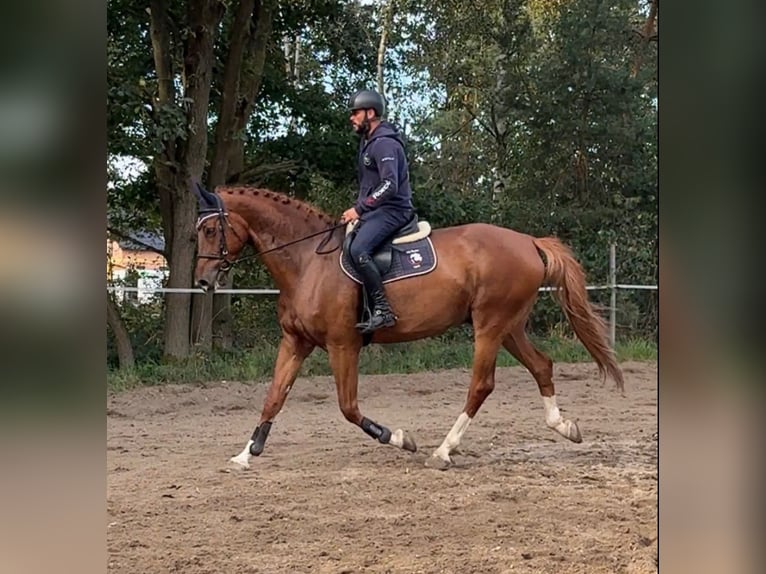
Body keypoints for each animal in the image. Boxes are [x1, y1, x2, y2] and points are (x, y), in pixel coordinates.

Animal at [192, 182, 624, 470]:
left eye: (211, 230)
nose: (202, 281)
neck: (308, 260)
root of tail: (527, 241)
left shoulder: (343, 345)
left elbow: (348, 407)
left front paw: (400, 438)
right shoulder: (295, 342)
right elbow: (274, 397)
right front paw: (246, 454)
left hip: (490, 326)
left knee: (481, 385)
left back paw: (443, 451)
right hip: (510, 327)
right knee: (542, 366)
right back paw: (563, 426)